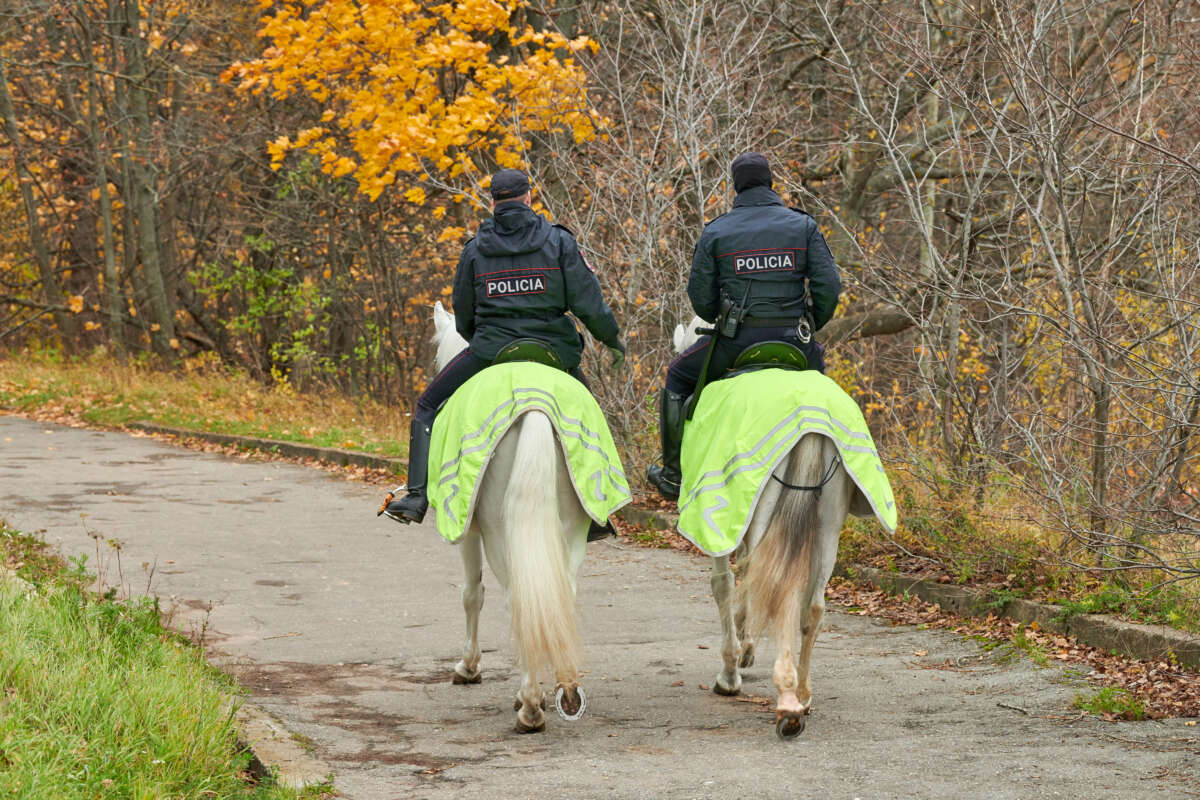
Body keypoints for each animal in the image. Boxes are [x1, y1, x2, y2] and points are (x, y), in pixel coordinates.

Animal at [432, 303, 590, 734]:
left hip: (500, 535)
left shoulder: (469, 532)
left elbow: (472, 593)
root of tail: (534, 405)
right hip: (573, 529)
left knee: (518, 599)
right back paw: (566, 689)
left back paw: (530, 705)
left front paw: (468, 668)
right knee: (562, 595)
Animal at [676, 316, 864, 738]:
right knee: (812, 606)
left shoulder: (724, 522)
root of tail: (808, 422)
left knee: (772, 586)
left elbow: (726, 585)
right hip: (828, 526)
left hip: (764, 510)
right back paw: (803, 695)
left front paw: (732, 669)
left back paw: (787, 703)